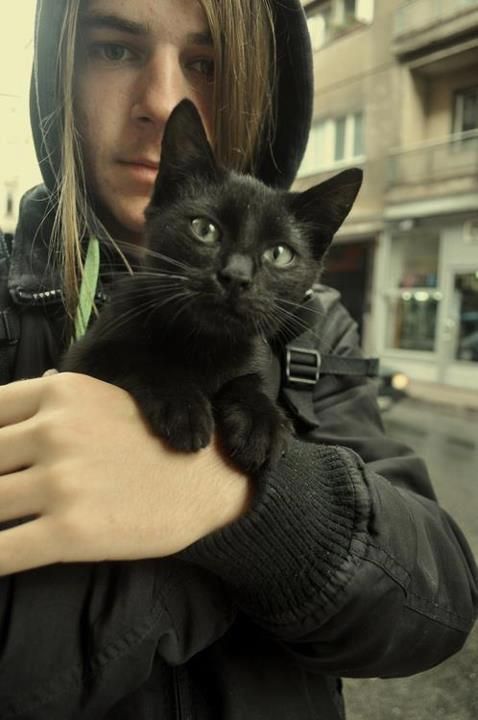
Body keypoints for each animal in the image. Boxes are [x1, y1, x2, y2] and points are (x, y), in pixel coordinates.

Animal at [60, 100, 362, 472]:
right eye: (204, 229)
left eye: (279, 254)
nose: (236, 276)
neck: (204, 345)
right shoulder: (80, 359)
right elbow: (135, 357)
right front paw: (183, 403)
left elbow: (250, 379)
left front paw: (261, 420)